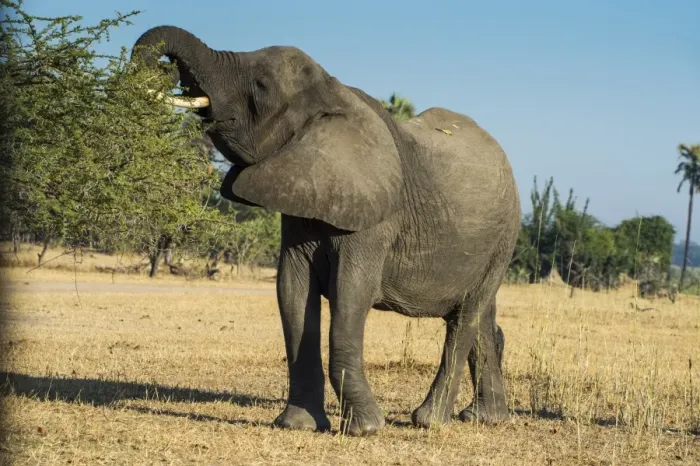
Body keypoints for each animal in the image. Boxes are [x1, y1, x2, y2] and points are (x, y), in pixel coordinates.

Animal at [131, 26, 521, 437]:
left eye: (261, 85)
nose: (164, 72)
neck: (332, 94)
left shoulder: (374, 221)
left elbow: (350, 294)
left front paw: (366, 429)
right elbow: (292, 291)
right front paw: (296, 425)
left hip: (504, 238)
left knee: (466, 318)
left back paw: (429, 421)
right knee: (483, 317)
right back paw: (484, 417)